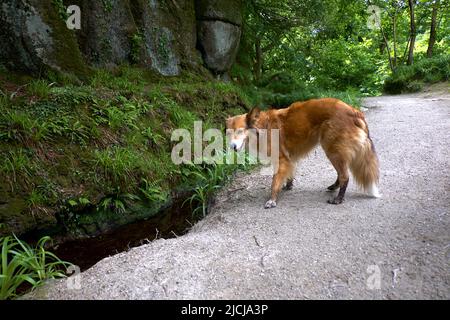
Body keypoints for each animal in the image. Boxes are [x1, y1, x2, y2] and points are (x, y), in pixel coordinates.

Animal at [225, 97, 380, 208]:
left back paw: (338, 199)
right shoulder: (289, 159)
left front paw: (272, 199)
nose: (232, 147)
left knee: (345, 176)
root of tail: (354, 111)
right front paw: (288, 185)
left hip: (332, 150)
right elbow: (288, 174)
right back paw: (333, 187)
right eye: (228, 133)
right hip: (333, 151)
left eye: (240, 131)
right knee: (341, 173)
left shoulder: (281, 159)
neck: (263, 127)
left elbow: (274, 182)